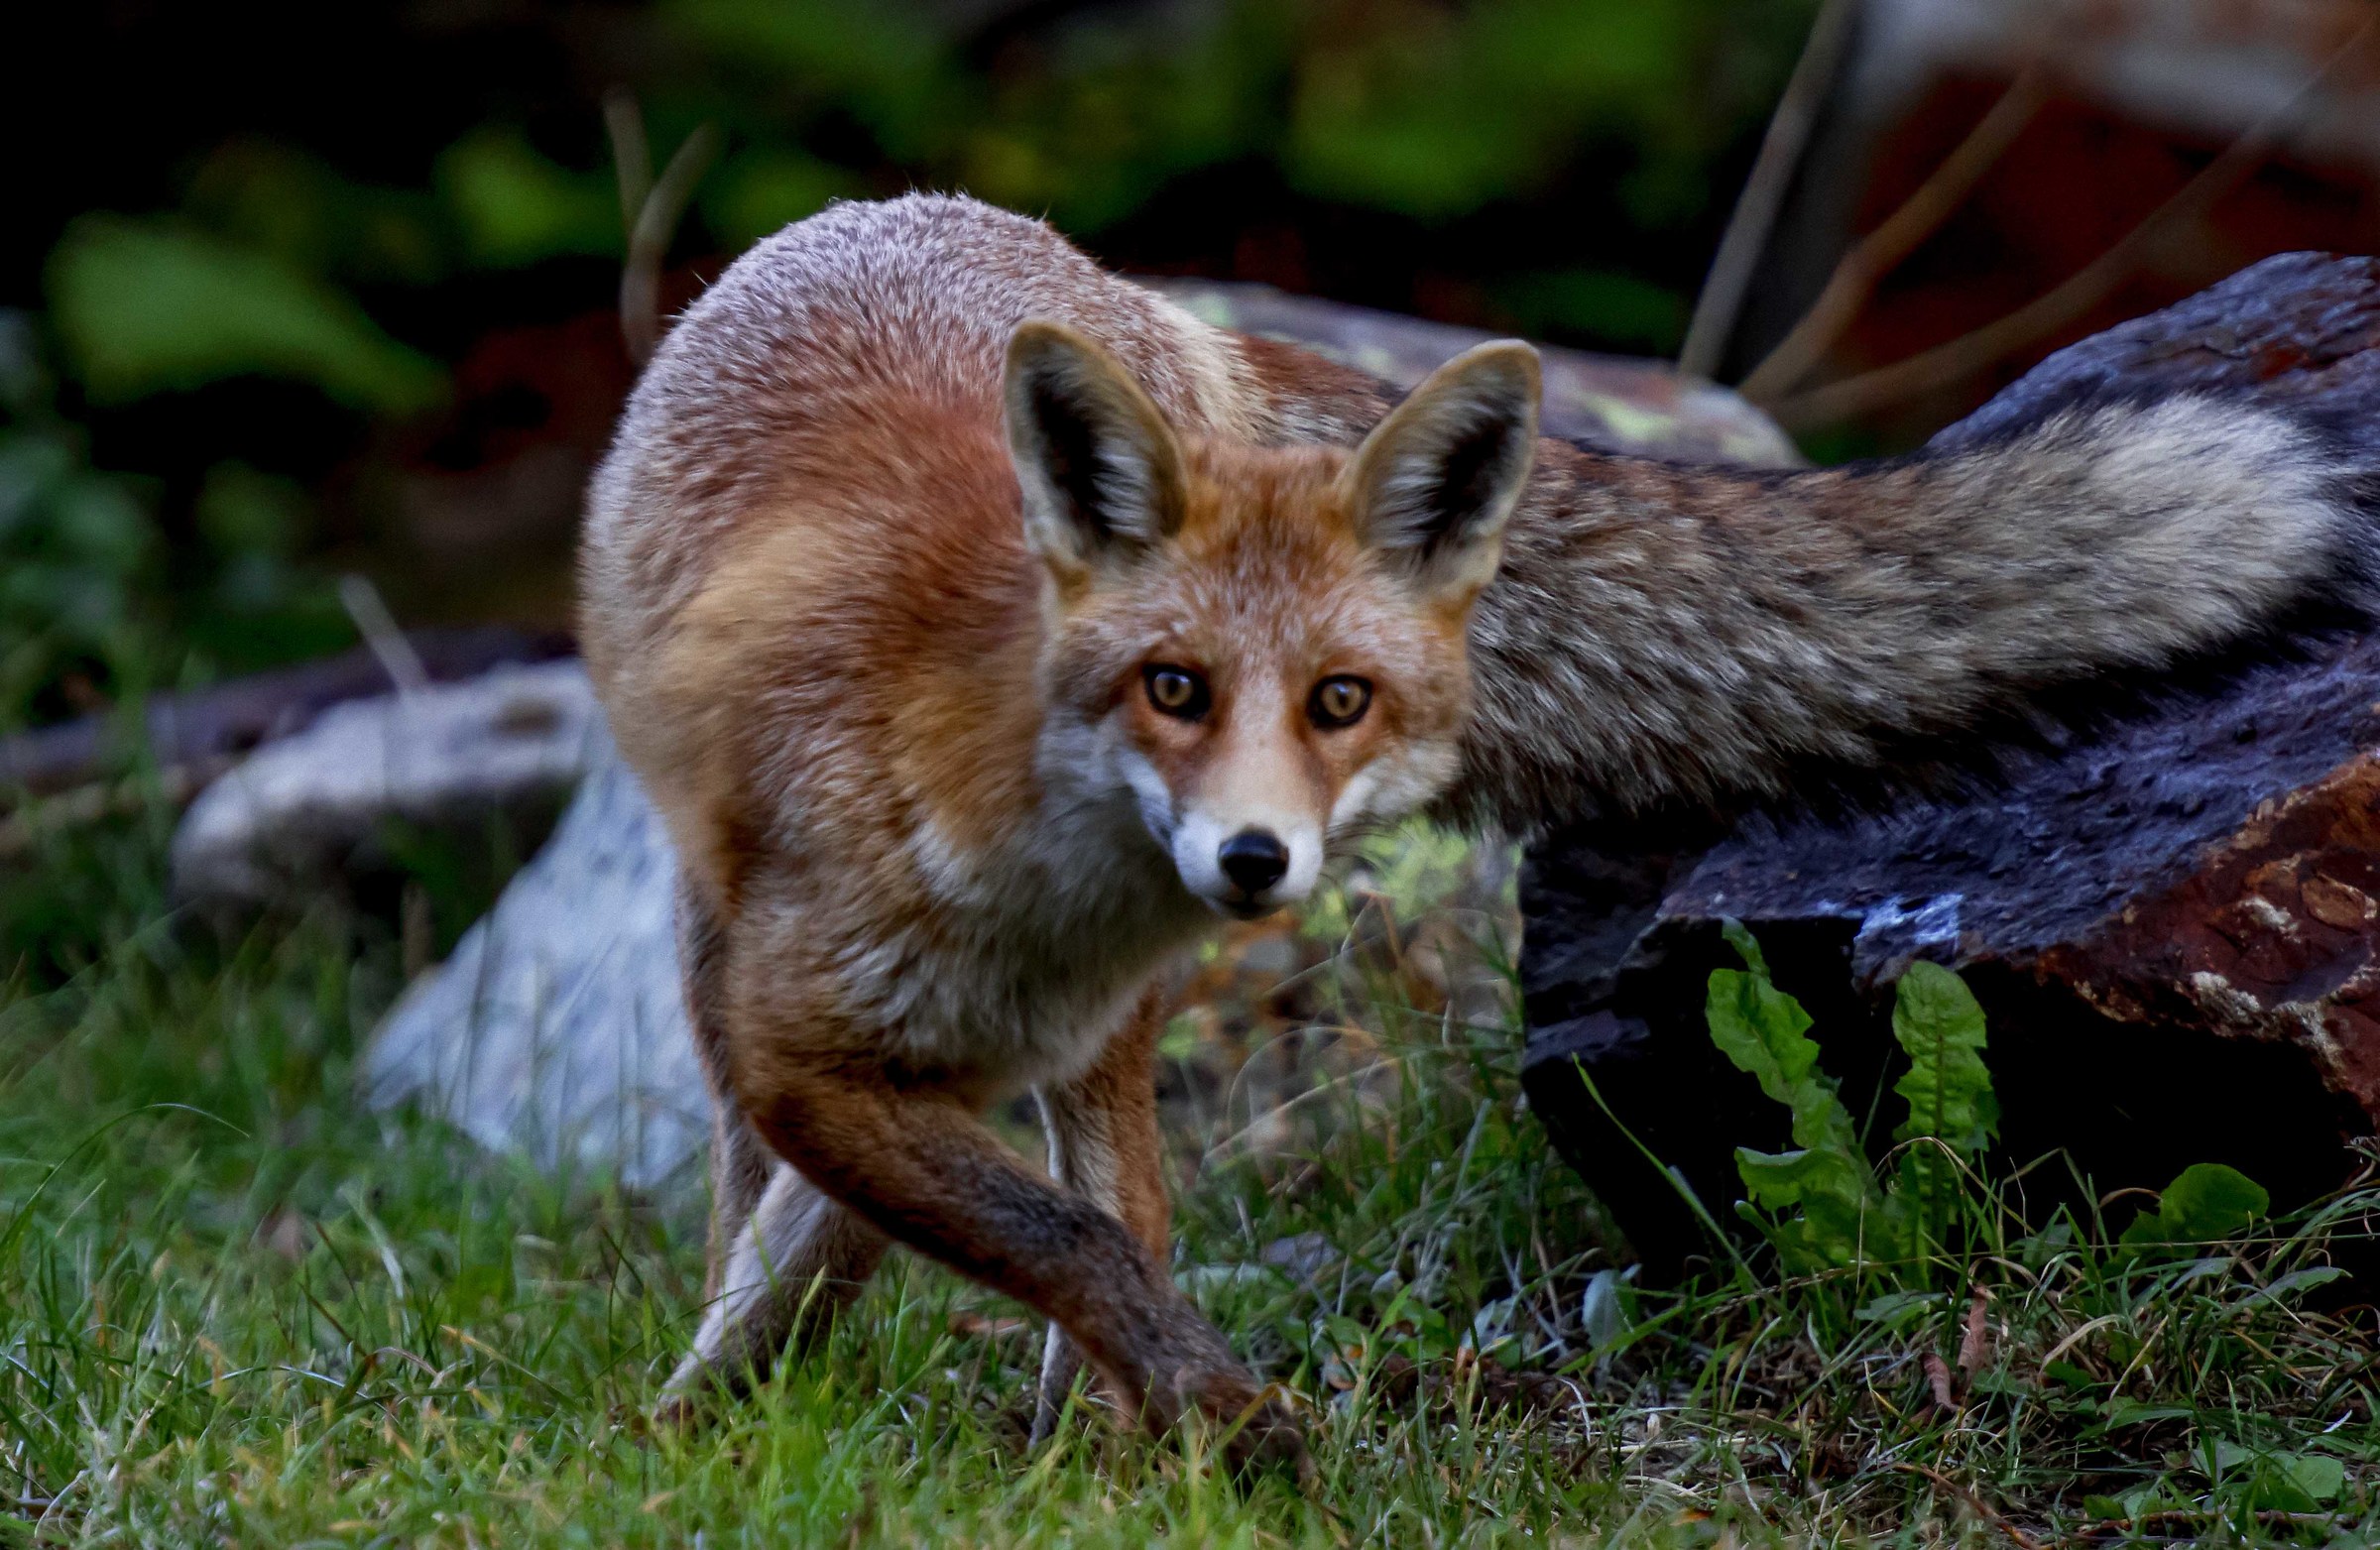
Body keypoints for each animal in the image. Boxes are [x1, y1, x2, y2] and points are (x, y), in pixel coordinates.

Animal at [580, 193, 2375, 1471]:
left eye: (1341, 700)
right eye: (1173, 687)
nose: (1252, 860)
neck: (1028, 878)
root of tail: (929, 210)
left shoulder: (978, 1039)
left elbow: (1087, 1231)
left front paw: (1167, 1431)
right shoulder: (799, 1037)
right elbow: (997, 1225)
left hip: (1074, 1037)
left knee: (1072, 1184)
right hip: (710, 952)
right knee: (786, 1195)